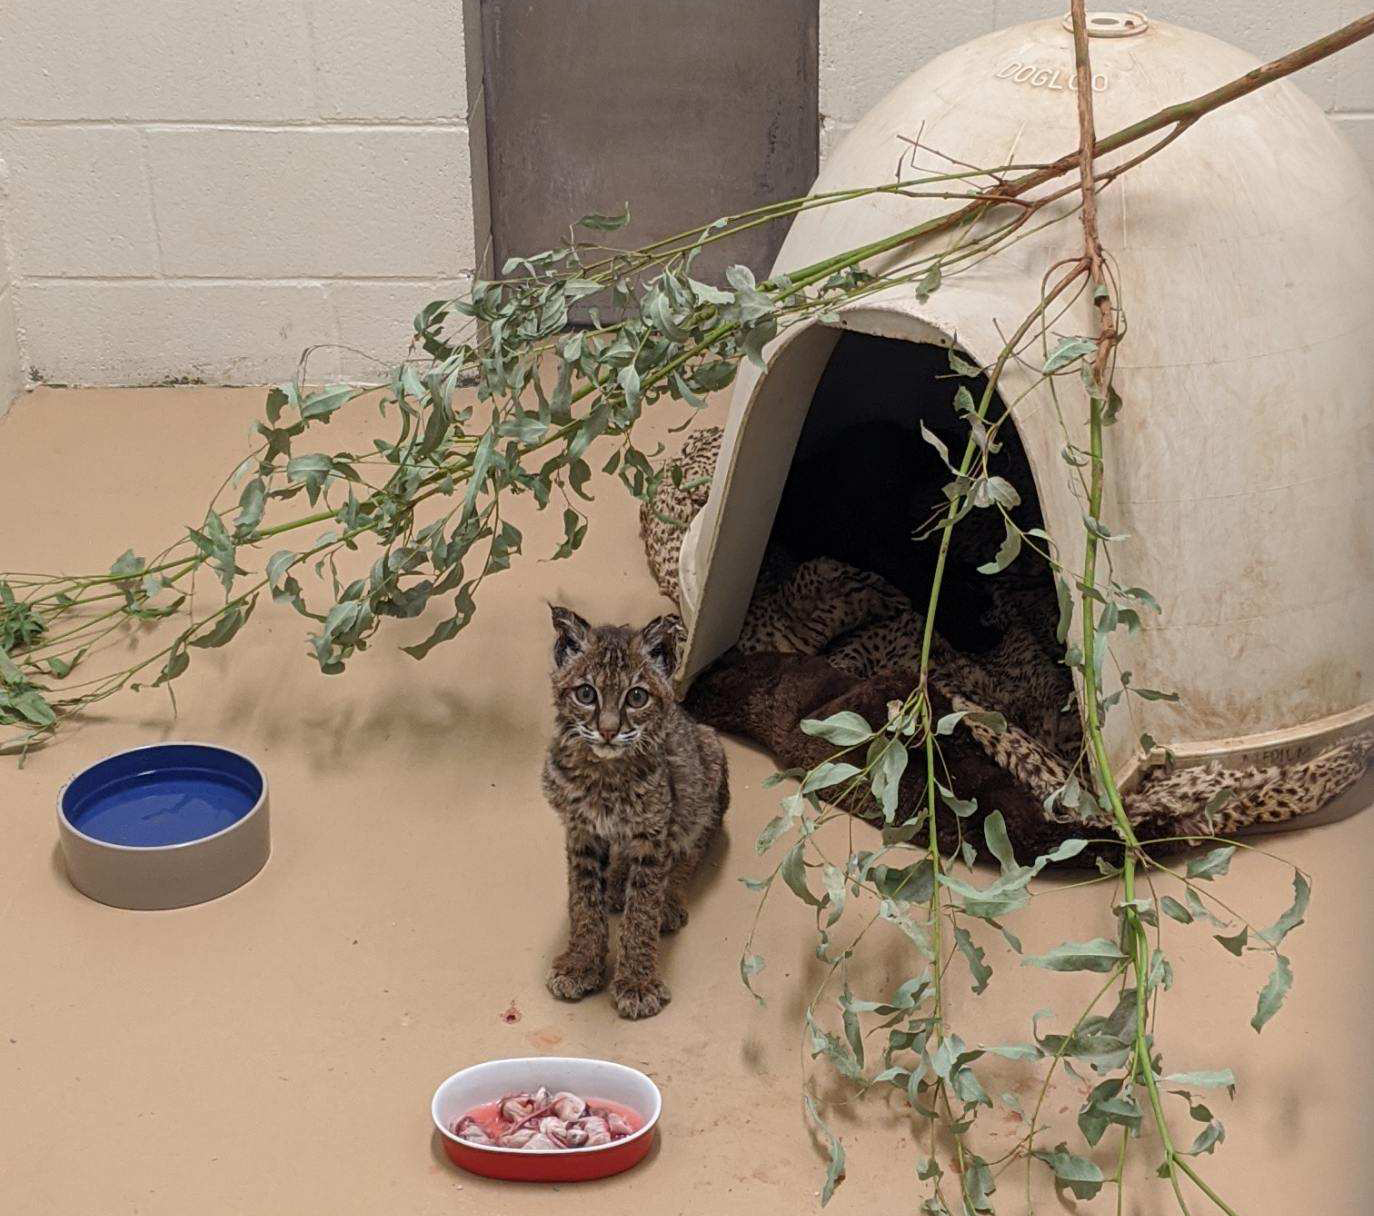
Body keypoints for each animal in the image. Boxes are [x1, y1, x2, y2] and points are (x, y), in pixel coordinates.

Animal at [541, 607, 730, 1016]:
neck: (604, 772)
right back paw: (615, 883)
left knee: (694, 846)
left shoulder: (654, 835)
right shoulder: (580, 830)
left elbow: (642, 910)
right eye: (586, 694)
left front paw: (637, 983)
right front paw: (582, 963)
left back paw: (669, 900)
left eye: (637, 697)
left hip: (708, 763)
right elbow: (582, 900)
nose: (609, 732)